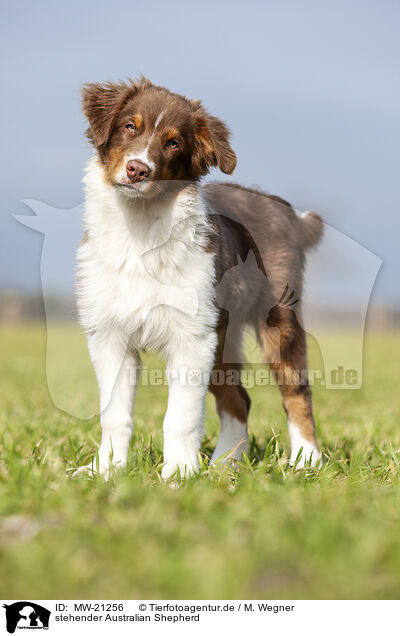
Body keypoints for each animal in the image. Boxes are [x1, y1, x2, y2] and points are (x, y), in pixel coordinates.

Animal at [76, 76, 324, 482]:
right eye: (130, 126)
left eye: (174, 143)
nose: (137, 169)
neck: (142, 229)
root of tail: (287, 212)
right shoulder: (110, 335)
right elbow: (114, 415)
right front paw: (107, 470)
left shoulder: (191, 338)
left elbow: (181, 416)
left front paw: (178, 474)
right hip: (221, 335)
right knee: (239, 398)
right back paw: (226, 464)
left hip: (276, 320)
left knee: (296, 391)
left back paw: (306, 461)